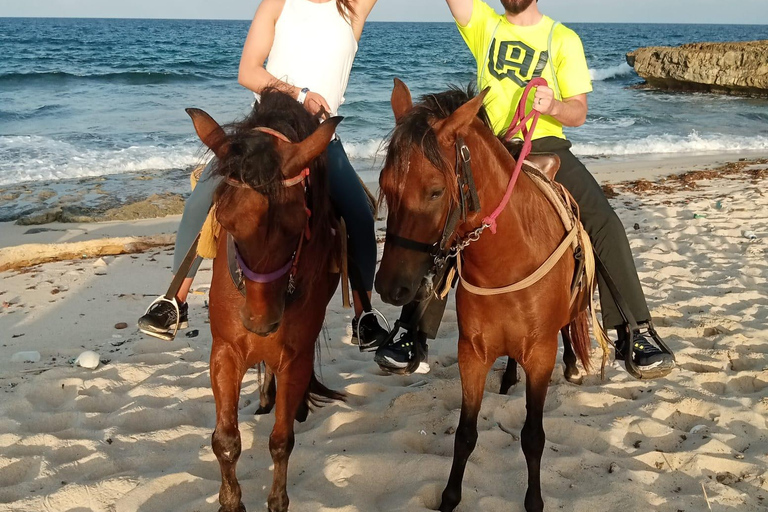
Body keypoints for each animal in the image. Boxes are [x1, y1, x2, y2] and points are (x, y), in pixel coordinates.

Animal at [184, 91, 344, 512]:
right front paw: (231, 501)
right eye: (226, 222)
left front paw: (277, 501)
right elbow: (226, 440)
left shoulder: (294, 357)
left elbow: (281, 441)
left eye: (298, 225)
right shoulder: (225, 352)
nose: (261, 322)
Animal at [376, 80, 592, 512]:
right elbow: (465, 434)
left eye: (434, 192)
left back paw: (574, 364)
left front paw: (534, 501)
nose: (390, 287)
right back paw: (508, 377)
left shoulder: (541, 356)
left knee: (567, 329)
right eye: (385, 185)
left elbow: (533, 437)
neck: (507, 260)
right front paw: (448, 498)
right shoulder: (472, 355)